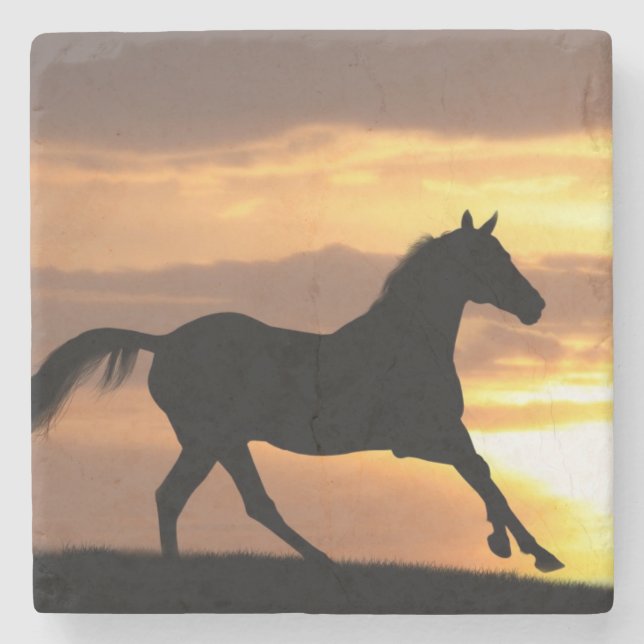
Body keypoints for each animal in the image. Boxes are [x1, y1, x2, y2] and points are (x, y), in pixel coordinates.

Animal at [31, 211, 564, 573]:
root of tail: (162, 341)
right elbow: (482, 474)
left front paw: (505, 544)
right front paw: (538, 553)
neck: (409, 343)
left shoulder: (439, 435)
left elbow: (482, 473)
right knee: (208, 499)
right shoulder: (416, 440)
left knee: (209, 499)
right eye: (493, 258)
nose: (536, 305)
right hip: (212, 440)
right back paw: (318, 563)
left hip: (219, 443)